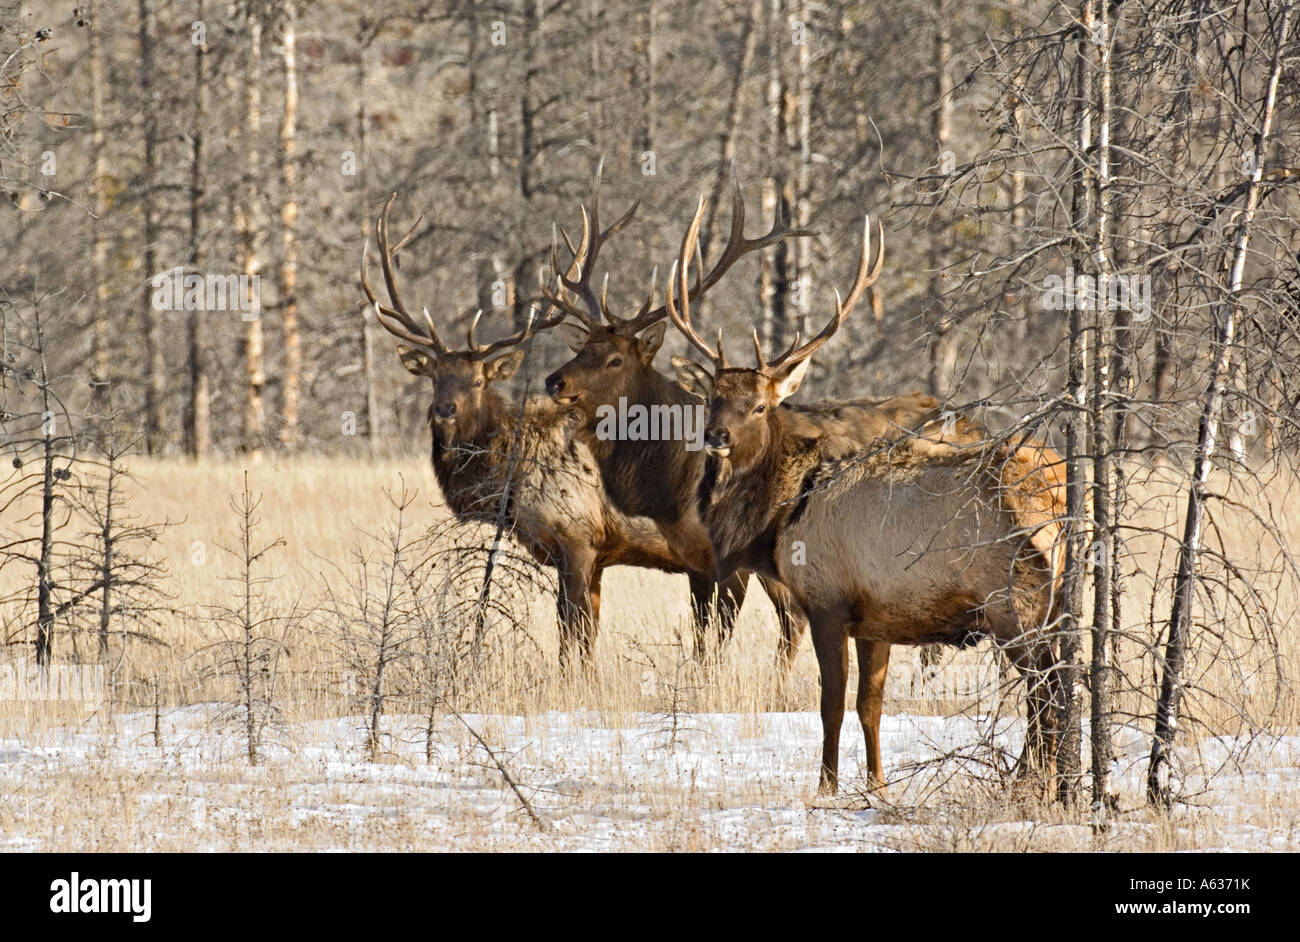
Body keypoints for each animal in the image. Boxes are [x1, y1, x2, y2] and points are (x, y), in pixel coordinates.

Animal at [361, 192, 696, 662]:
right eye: (434, 376)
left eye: (478, 380)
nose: (444, 408)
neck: (513, 479)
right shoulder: (590, 554)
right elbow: (581, 637)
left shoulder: (578, 536)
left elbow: (572, 637)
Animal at [665, 202, 1071, 789]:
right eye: (711, 399)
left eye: (760, 406)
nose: (716, 436)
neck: (782, 516)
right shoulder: (877, 618)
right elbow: (871, 704)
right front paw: (877, 783)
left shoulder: (827, 600)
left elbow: (830, 703)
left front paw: (827, 784)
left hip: (1016, 598)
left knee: (1046, 689)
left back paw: (1032, 782)